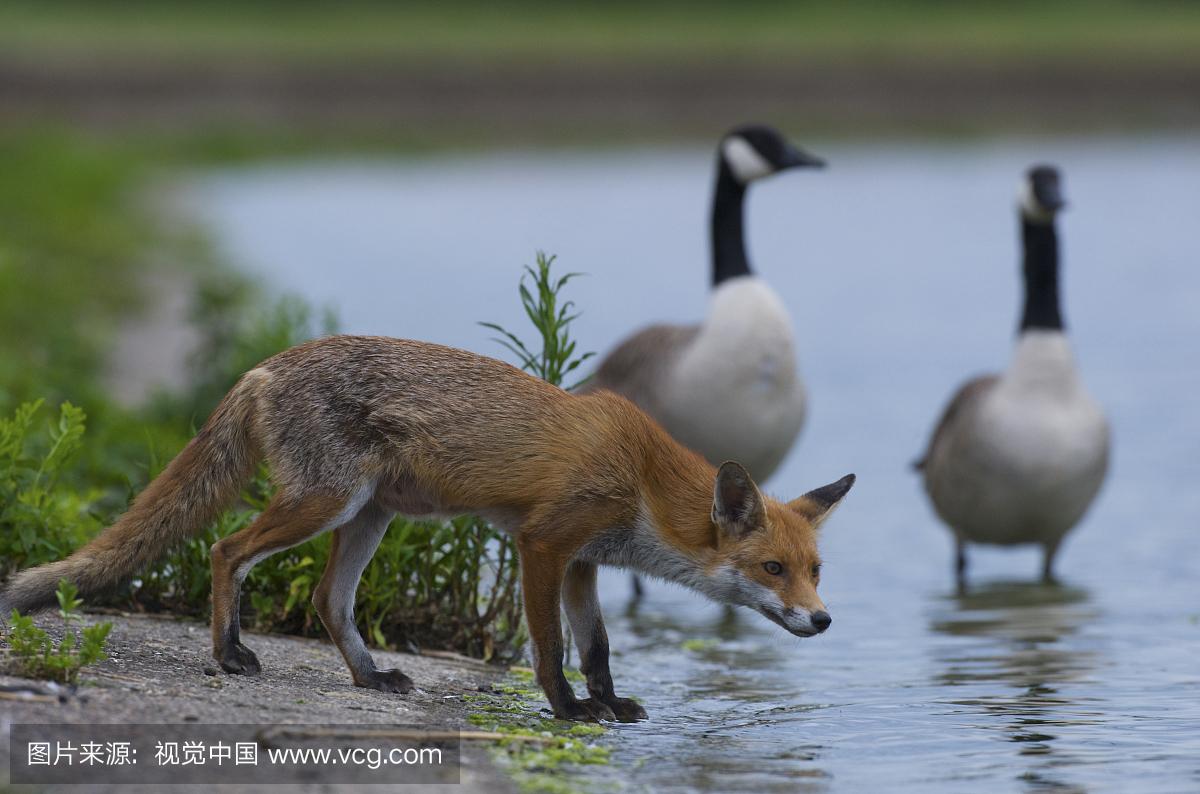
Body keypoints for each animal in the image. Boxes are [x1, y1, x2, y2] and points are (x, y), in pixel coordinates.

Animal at [0, 335, 849, 719]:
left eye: (816, 570)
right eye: (774, 569)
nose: (823, 620)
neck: (641, 474)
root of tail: (269, 362)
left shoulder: (584, 562)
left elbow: (599, 647)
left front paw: (608, 705)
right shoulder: (543, 544)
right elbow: (550, 649)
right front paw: (569, 710)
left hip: (368, 517)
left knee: (328, 602)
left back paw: (370, 677)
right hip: (325, 505)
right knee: (225, 549)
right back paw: (228, 654)